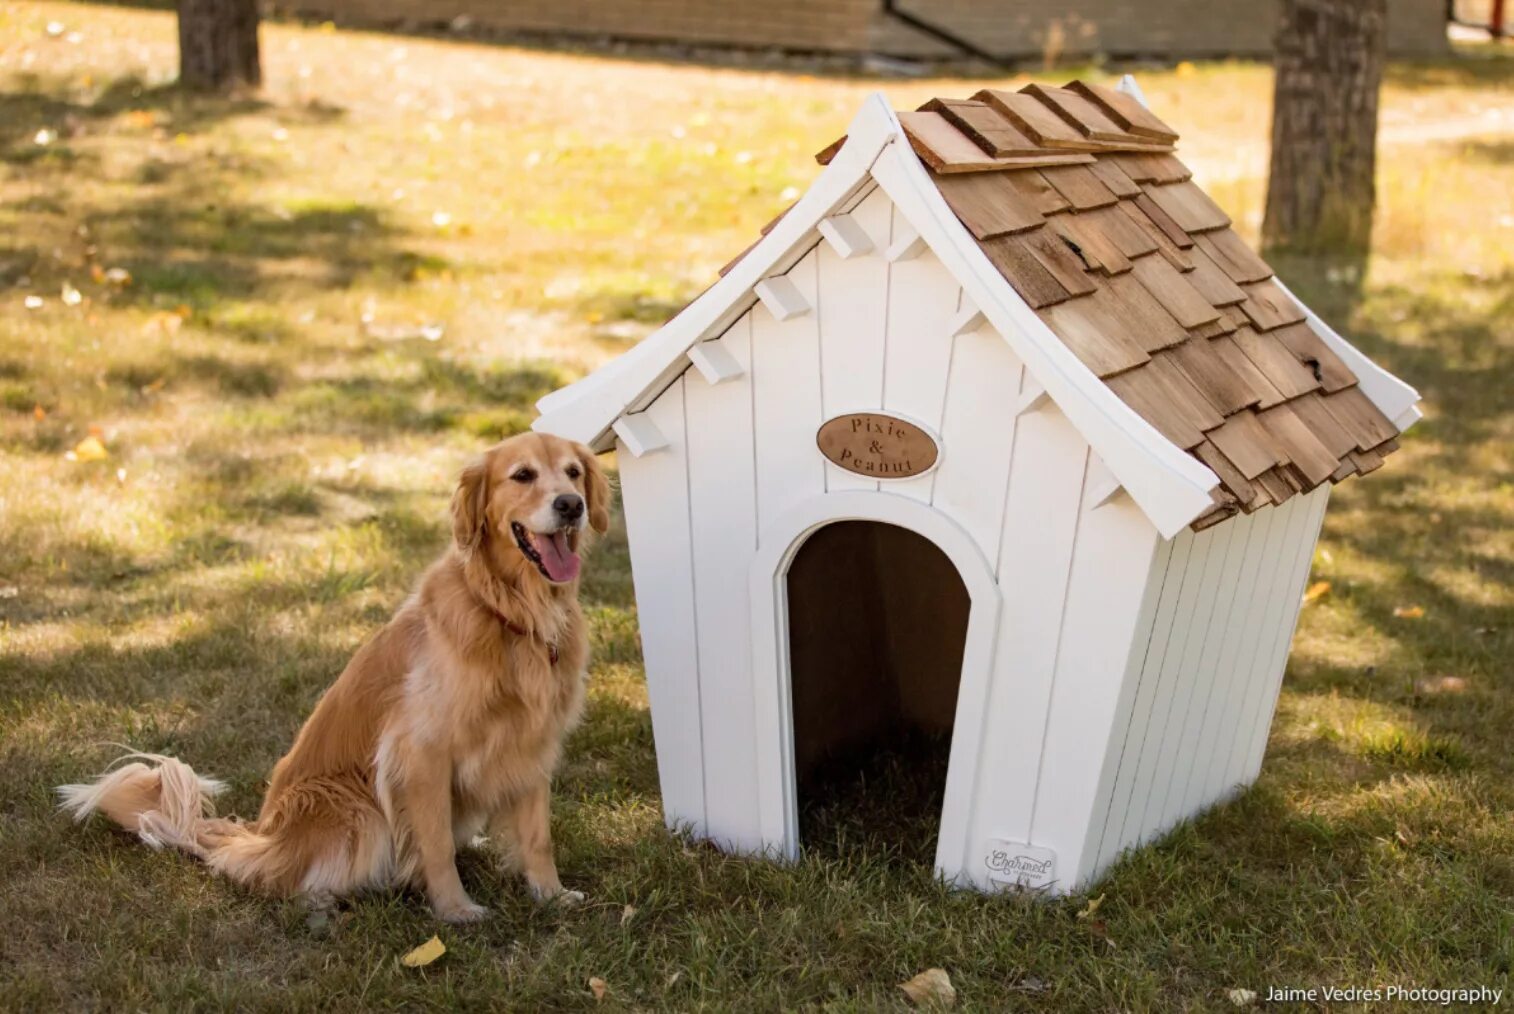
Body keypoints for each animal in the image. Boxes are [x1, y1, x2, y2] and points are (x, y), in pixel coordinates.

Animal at [60, 432, 608, 926]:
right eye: (522, 475)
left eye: (573, 472)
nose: (571, 505)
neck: (512, 614)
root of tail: (262, 834)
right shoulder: (420, 753)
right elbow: (433, 844)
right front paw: (455, 910)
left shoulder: (532, 743)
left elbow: (537, 836)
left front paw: (551, 895)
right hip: (354, 810)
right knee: (272, 875)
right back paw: (320, 901)